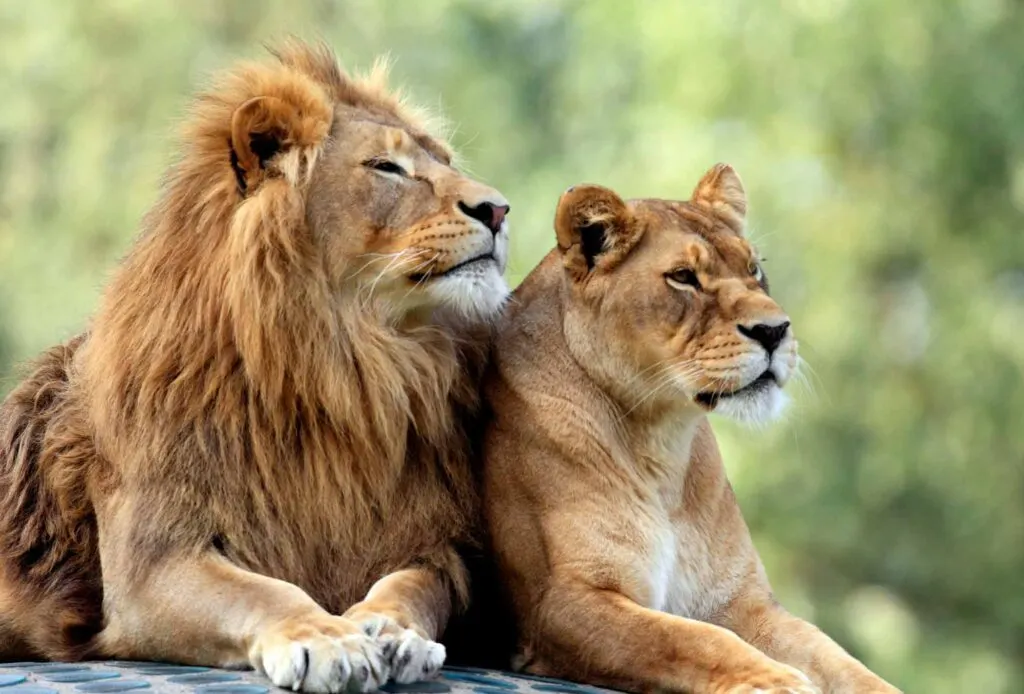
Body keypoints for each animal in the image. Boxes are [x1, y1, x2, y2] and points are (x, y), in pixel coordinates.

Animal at [0, 40, 512, 691]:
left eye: (444, 160)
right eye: (386, 167)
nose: (499, 209)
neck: (347, 367)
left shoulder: (434, 545)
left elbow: (413, 587)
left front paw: (392, 631)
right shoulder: (151, 563)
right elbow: (263, 592)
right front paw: (326, 639)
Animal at [483, 164, 901, 694]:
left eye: (754, 269)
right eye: (683, 277)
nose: (775, 330)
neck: (661, 441)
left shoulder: (740, 600)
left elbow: (836, 658)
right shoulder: (561, 603)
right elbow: (690, 639)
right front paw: (777, 681)